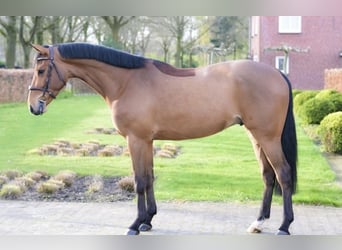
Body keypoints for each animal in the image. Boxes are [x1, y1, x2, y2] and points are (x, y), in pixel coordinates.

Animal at [27, 42, 296, 234]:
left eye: (41, 70)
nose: (33, 107)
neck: (126, 82)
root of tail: (278, 73)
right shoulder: (146, 141)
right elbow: (149, 177)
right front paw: (148, 220)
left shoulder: (135, 140)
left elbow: (139, 181)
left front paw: (135, 224)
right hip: (256, 136)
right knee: (268, 176)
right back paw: (258, 223)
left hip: (268, 137)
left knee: (283, 173)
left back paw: (284, 226)